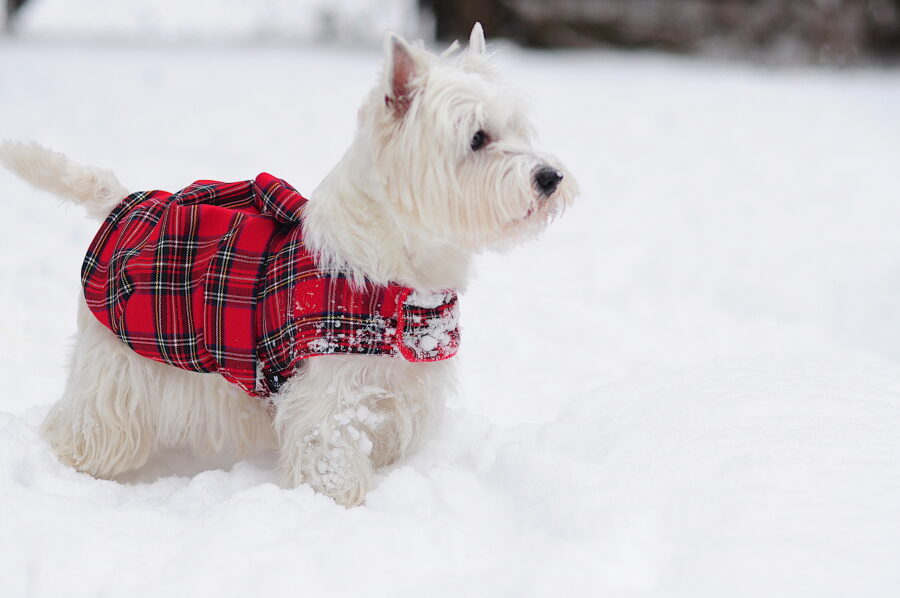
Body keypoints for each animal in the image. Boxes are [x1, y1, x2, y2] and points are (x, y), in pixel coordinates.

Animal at [0, 25, 576, 508]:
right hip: (120, 363)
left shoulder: (405, 384)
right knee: (85, 427)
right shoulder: (328, 393)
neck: (393, 275)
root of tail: (125, 201)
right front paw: (342, 506)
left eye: (520, 130)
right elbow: (330, 456)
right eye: (477, 138)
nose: (551, 177)